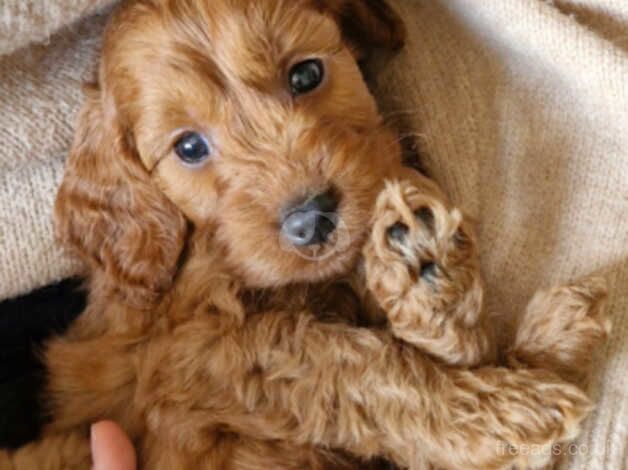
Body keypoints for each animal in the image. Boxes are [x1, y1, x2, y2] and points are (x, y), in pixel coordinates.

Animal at [0, 0, 608, 470]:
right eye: (189, 147)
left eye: (306, 75)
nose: (311, 219)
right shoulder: (197, 360)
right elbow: (348, 365)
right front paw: (507, 408)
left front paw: (431, 276)